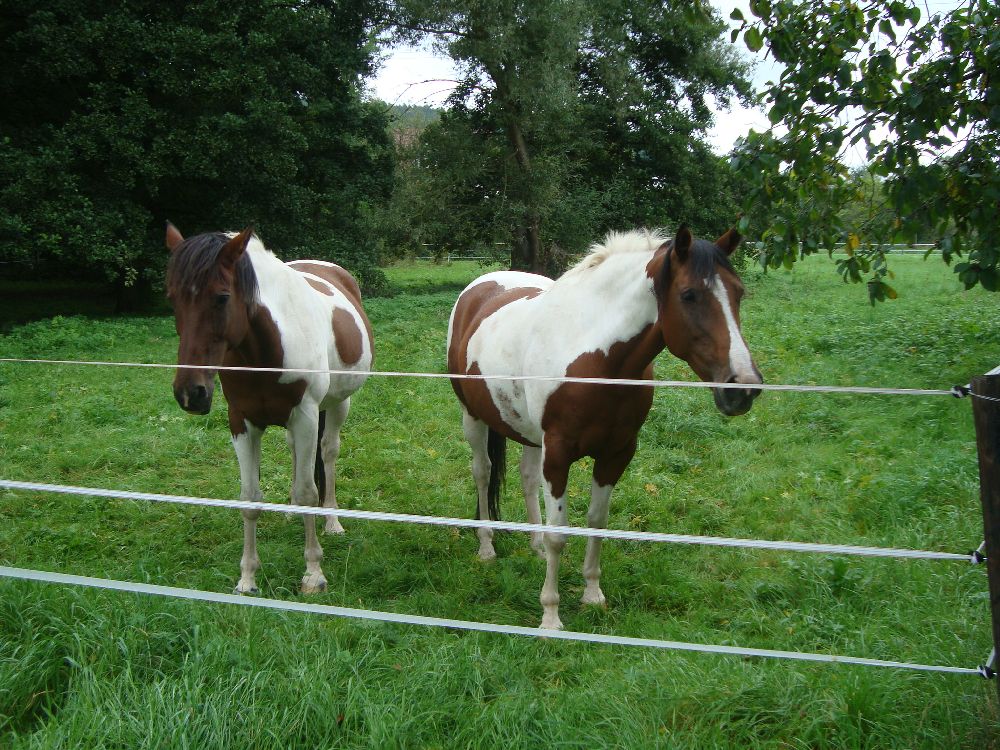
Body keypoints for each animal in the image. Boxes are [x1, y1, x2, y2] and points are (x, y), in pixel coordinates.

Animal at [166, 223, 374, 592]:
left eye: (222, 297)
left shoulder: (305, 416)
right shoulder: (242, 422)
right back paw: (291, 512)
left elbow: (308, 492)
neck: (264, 351)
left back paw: (332, 520)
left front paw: (313, 574)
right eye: (172, 298)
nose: (191, 393)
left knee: (328, 453)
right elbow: (250, 498)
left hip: (337, 405)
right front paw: (247, 578)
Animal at [450, 226, 760, 632]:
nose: (743, 387)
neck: (597, 358)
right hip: (473, 417)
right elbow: (559, 534)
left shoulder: (616, 453)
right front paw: (550, 616)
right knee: (483, 473)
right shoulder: (559, 455)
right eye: (689, 295)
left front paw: (592, 596)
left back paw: (534, 546)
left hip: (530, 435)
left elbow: (597, 521)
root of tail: (480, 288)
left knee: (527, 477)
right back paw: (486, 546)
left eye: (739, 293)